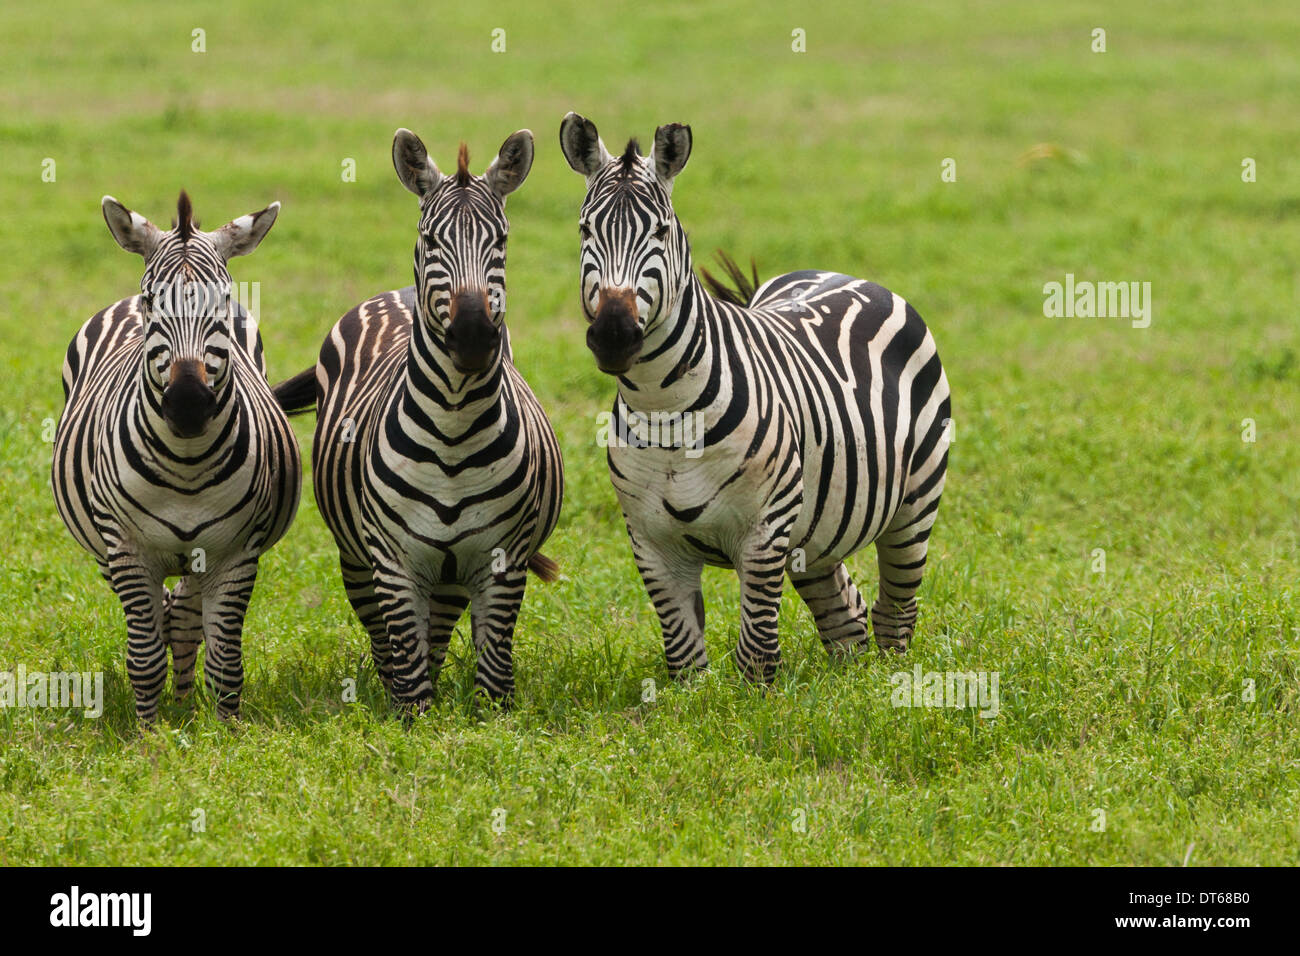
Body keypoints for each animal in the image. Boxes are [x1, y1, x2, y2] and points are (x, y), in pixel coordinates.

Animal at [51, 191, 301, 723]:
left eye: (223, 300)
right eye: (152, 302)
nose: (188, 404)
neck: (186, 464)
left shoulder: (236, 553)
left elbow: (225, 660)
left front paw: (223, 730)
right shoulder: (126, 550)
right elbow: (144, 656)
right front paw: (149, 731)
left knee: (185, 618)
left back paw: (185, 705)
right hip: (102, 545)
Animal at [309, 125, 569, 712]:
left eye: (501, 241)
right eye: (430, 240)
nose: (472, 337)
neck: (452, 431)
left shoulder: (502, 561)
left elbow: (494, 677)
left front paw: (486, 723)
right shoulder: (392, 563)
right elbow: (407, 676)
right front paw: (412, 722)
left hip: (449, 576)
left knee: (437, 632)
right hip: (357, 560)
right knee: (388, 642)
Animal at [561, 110, 956, 681]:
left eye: (661, 231)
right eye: (585, 230)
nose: (614, 334)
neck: (666, 411)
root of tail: (842, 273)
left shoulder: (765, 530)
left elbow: (757, 654)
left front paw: (759, 702)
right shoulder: (650, 541)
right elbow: (685, 659)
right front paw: (695, 699)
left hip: (914, 504)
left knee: (894, 613)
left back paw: (888, 684)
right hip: (817, 530)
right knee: (846, 616)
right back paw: (851, 686)